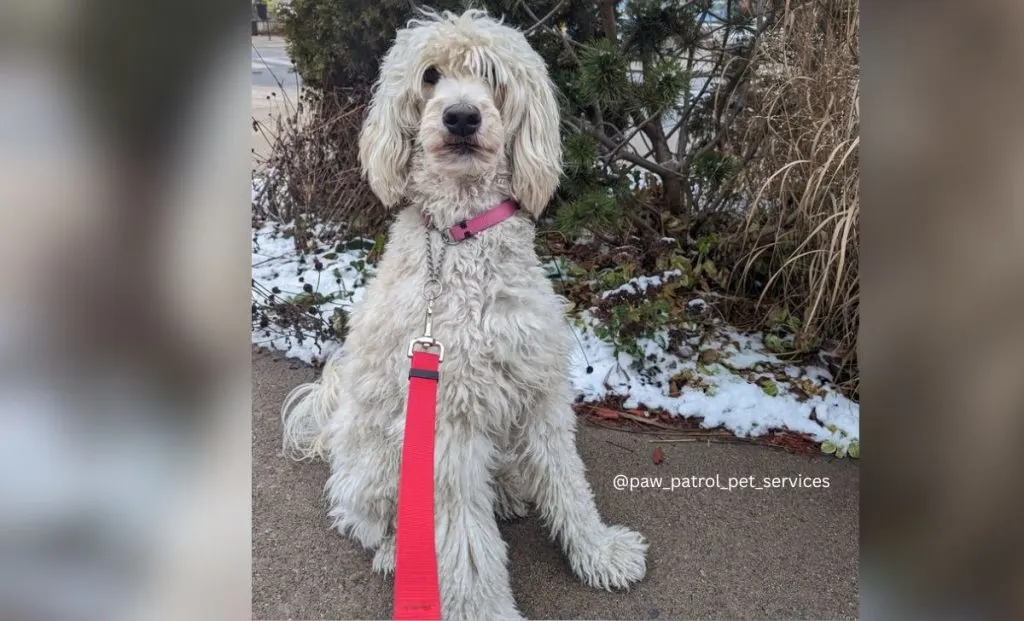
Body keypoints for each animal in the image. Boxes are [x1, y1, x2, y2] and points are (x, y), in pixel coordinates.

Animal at [280, 7, 647, 618]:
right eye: (430, 76)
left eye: (492, 77)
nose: (460, 116)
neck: (462, 235)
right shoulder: (444, 427)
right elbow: (465, 543)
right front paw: (482, 607)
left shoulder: (540, 390)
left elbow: (567, 480)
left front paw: (599, 553)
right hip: (377, 465)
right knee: (364, 519)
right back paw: (395, 552)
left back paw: (506, 493)